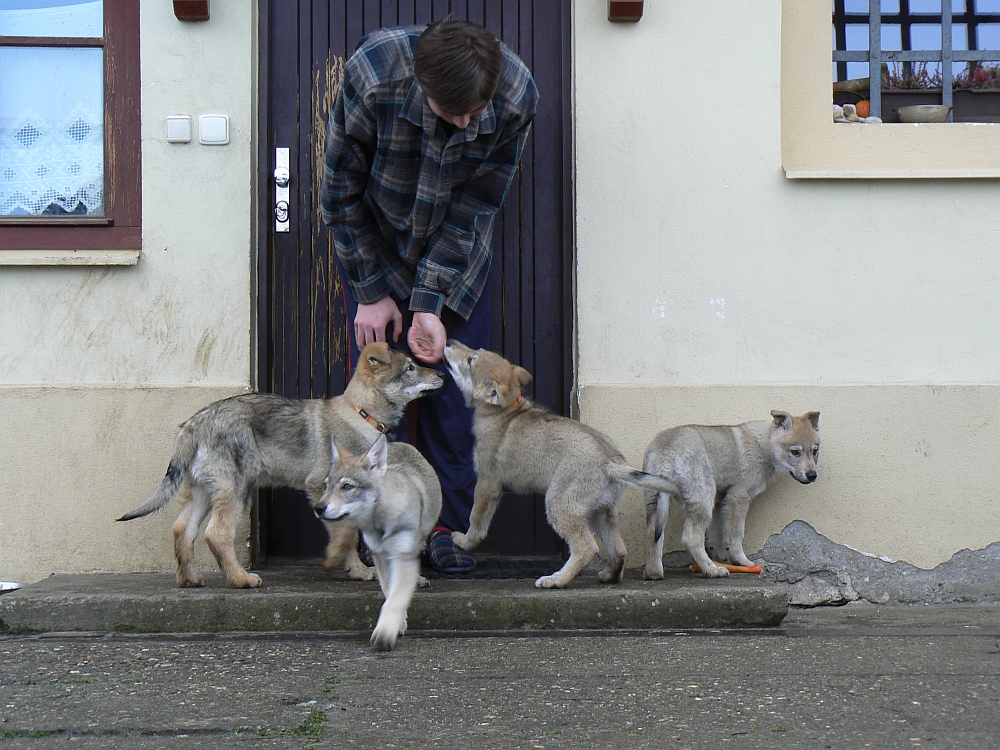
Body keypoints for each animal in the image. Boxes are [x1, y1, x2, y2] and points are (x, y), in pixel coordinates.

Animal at [117, 344, 442, 592]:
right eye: (410, 368)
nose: (441, 373)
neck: (362, 414)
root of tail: (193, 423)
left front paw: (356, 570)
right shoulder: (323, 488)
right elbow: (347, 532)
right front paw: (355, 568)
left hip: (204, 491)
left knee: (183, 529)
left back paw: (190, 579)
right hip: (238, 488)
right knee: (216, 534)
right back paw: (241, 579)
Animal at [310, 438, 440, 656]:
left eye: (347, 486)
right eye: (326, 486)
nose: (318, 508)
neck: (381, 522)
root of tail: (399, 442)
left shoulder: (402, 555)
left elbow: (396, 598)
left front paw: (387, 631)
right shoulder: (381, 556)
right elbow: (389, 593)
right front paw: (398, 623)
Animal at [440, 342, 680, 592]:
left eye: (471, 360)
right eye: (475, 350)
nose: (449, 342)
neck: (504, 412)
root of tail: (611, 462)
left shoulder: (487, 484)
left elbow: (475, 521)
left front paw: (463, 542)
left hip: (559, 506)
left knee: (587, 548)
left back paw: (556, 579)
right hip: (601, 512)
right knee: (619, 550)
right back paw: (608, 575)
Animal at [640, 412, 820, 580]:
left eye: (815, 451)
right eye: (795, 452)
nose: (812, 475)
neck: (764, 444)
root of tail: (667, 448)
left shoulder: (720, 501)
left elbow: (716, 537)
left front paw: (722, 558)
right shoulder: (738, 497)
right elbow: (736, 534)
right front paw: (742, 562)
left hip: (656, 502)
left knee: (652, 536)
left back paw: (654, 573)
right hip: (703, 500)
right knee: (690, 538)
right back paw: (712, 570)